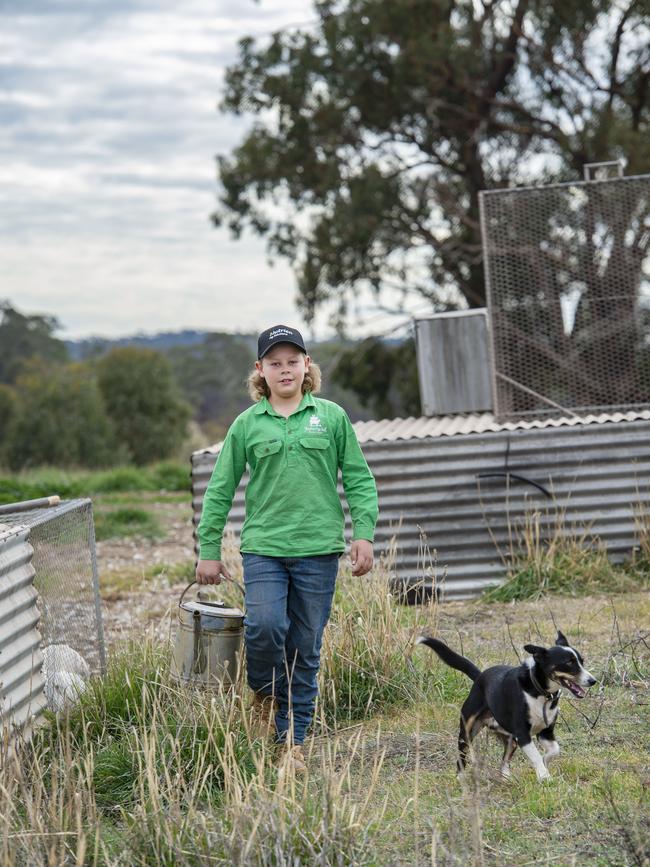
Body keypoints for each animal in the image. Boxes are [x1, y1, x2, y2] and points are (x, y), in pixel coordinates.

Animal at [418, 632, 596, 780]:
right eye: (569, 663)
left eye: (581, 661)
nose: (593, 681)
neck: (539, 692)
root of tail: (480, 677)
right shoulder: (523, 734)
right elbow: (536, 756)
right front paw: (544, 776)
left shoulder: (546, 732)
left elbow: (553, 750)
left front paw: (545, 763)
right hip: (467, 730)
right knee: (462, 755)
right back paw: (461, 778)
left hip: (511, 740)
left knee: (504, 761)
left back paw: (506, 779)